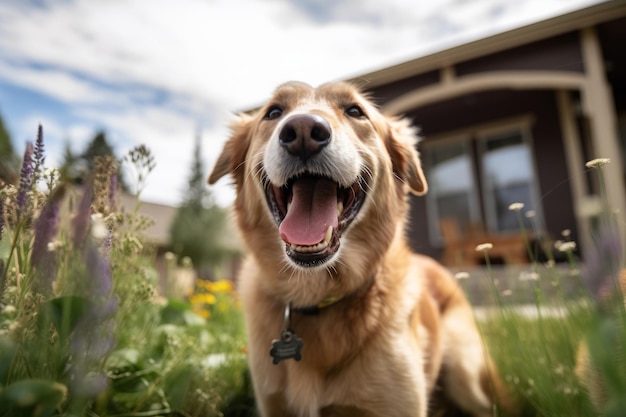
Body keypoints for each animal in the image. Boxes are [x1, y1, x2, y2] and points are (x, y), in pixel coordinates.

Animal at [207, 81, 510, 416]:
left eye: (355, 111)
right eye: (273, 112)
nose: (303, 131)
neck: (317, 296)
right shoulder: (273, 404)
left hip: (465, 370)